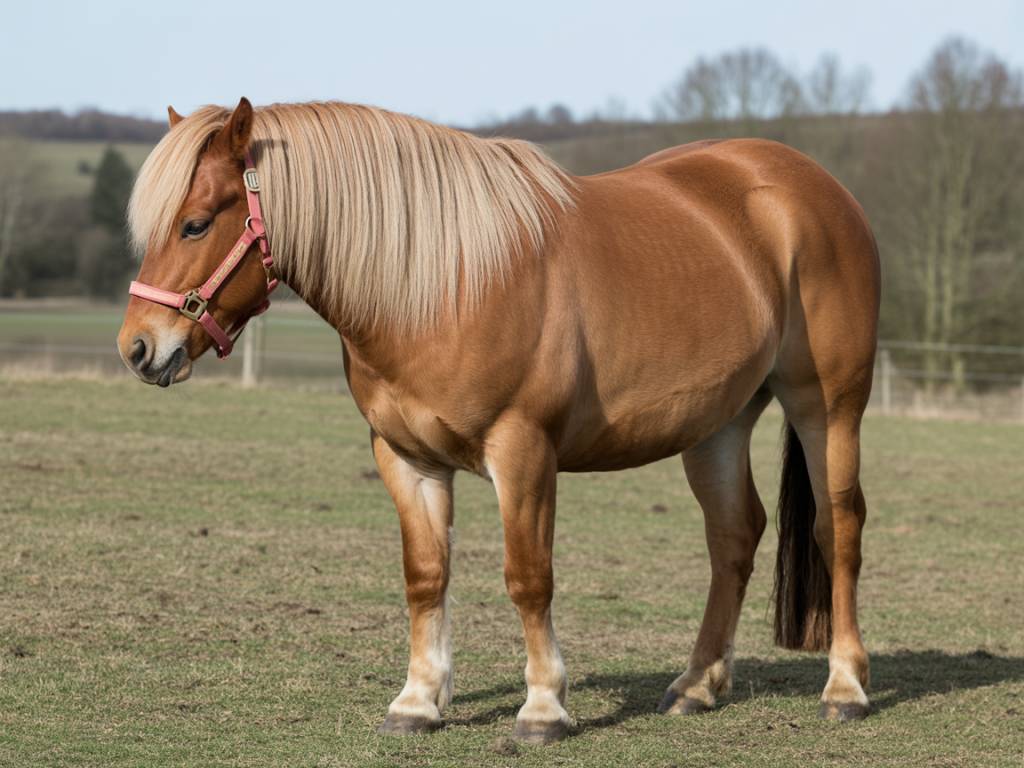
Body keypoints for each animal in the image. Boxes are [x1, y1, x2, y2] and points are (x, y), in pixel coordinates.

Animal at [117, 97, 880, 744]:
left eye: (196, 222)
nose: (138, 348)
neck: (441, 283)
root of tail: (813, 188)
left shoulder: (523, 452)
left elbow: (528, 576)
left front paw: (543, 708)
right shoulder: (405, 457)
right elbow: (426, 575)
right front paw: (417, 702)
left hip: (827, 407)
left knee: (836, 528)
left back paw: (845, 687)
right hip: (718, 424)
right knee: (733, 537)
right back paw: (697, 685)